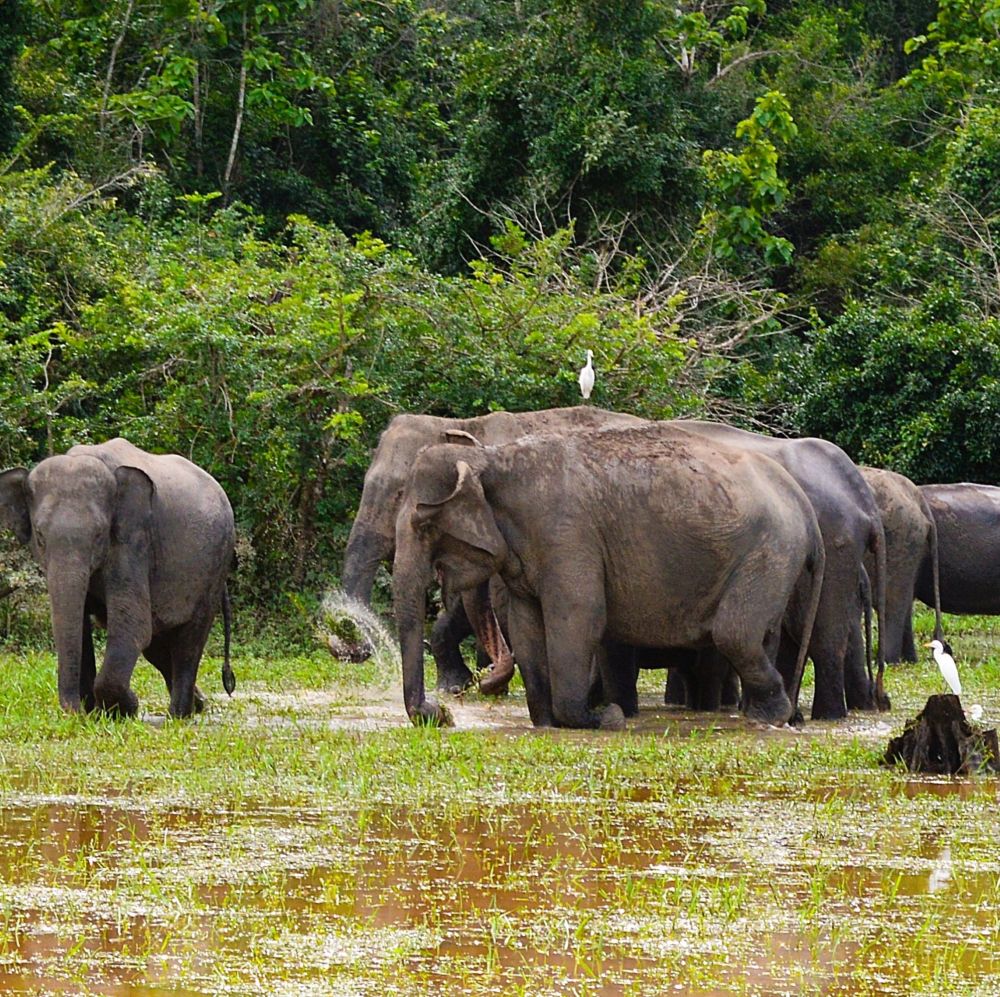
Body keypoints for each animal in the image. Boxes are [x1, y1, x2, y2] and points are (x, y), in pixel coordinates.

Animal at [0, 438, 236, 717]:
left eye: (100, 534)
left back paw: (179, 714)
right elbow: (82, 625)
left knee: (189, 641)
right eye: (40, 536)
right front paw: (94, 711)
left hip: (216, 565)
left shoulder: (133, 540)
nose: (74, 710)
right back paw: (198, 705)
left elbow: (132, 622)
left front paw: (124, 708)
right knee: (157, 644)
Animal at [392, 424, 825, 730]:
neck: (490, 459)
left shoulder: (566, 533)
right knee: (761, 634)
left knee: (734, 633)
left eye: (424, 525)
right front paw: (547, 722)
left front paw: (603, 717)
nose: (440, 713)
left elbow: (579, 617)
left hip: (769, 551)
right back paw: (762, 714)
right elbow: (527, 624)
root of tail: (804, 505)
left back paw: (771, 717)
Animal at [859, 467, 942, 662]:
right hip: (910, 545)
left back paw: (887, 660)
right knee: (904, 600)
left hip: (901, 540)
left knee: (891, 602)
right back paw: (909, 658)